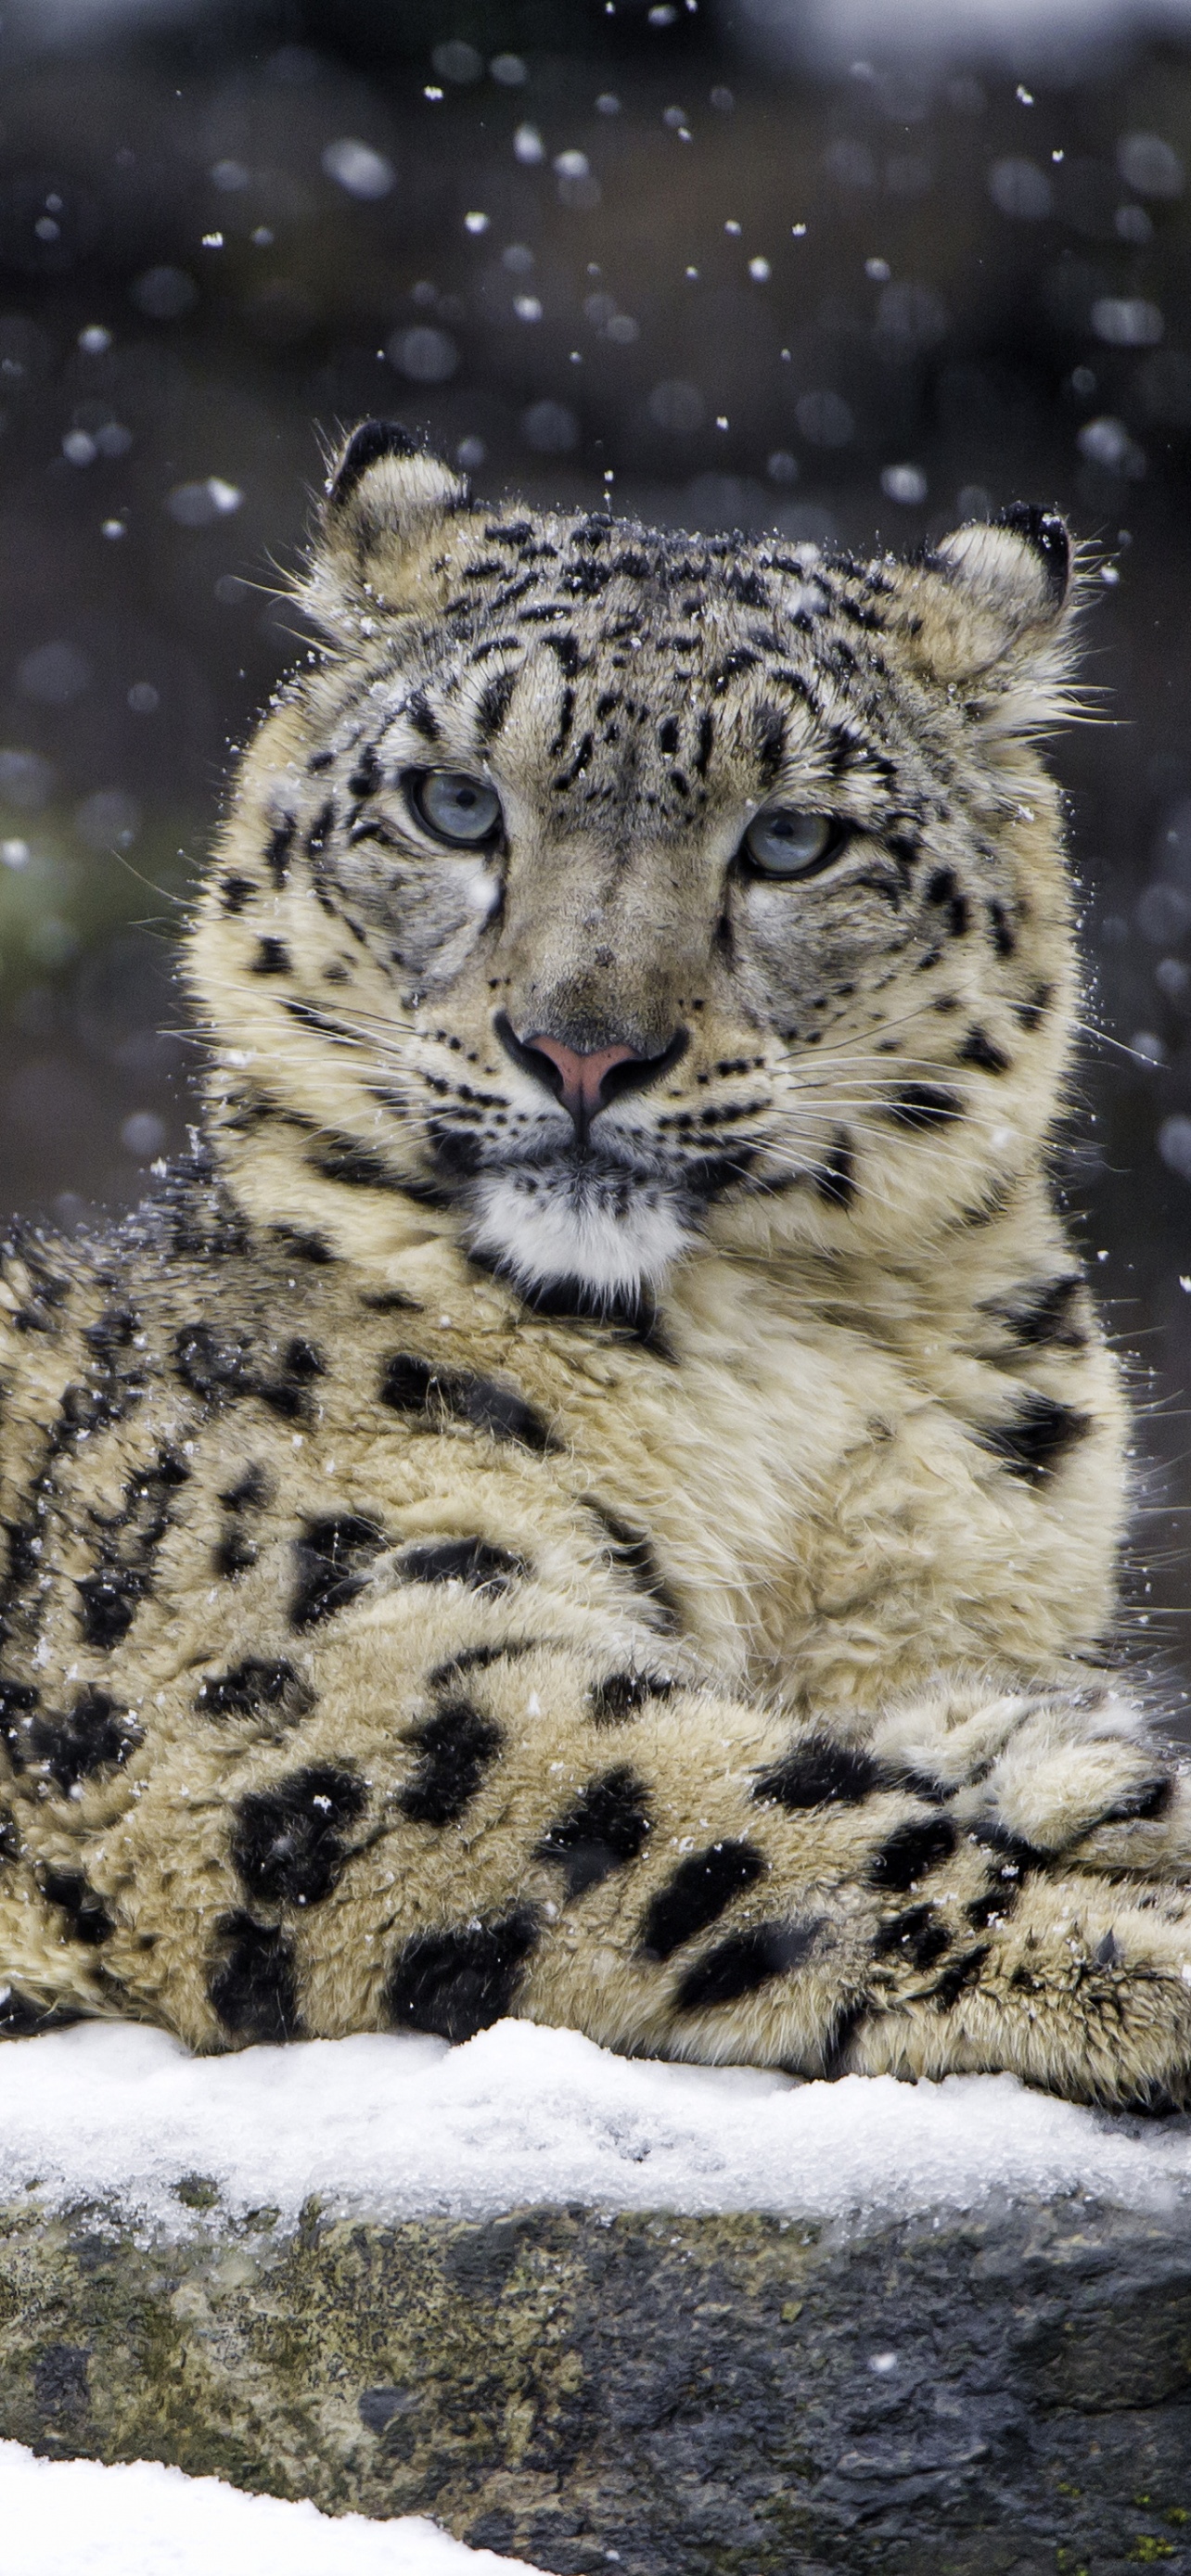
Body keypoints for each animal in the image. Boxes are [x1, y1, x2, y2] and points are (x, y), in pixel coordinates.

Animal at [2, 427, 1191, 2111]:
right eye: (451, 803)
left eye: (791, 837)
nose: (579, 1046)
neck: (789, 1381)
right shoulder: (288, 1680)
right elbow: (719, 1814)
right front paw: (1128, 1920)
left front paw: (1059, 1746)